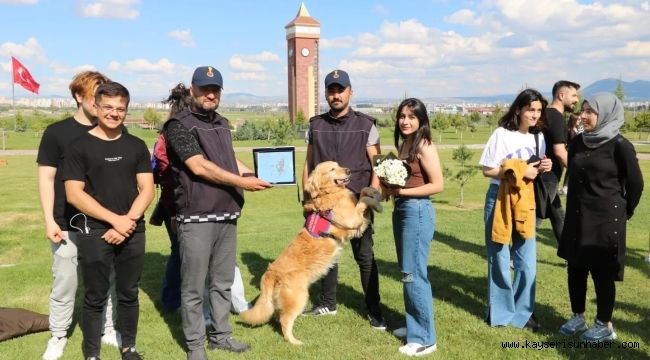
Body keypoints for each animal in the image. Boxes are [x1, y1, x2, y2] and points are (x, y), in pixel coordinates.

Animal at [238, 162, 380, 344]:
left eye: (338, 165)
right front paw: (373, 201)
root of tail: (270, 273)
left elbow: (362, 192)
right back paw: (294, 341)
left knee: (279, 316)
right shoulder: (353, 219)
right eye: (332, 169)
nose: (348, 170)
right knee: (285, 321)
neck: (328, 193)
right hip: (299, 297)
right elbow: (362, 201)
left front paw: (371, 191)